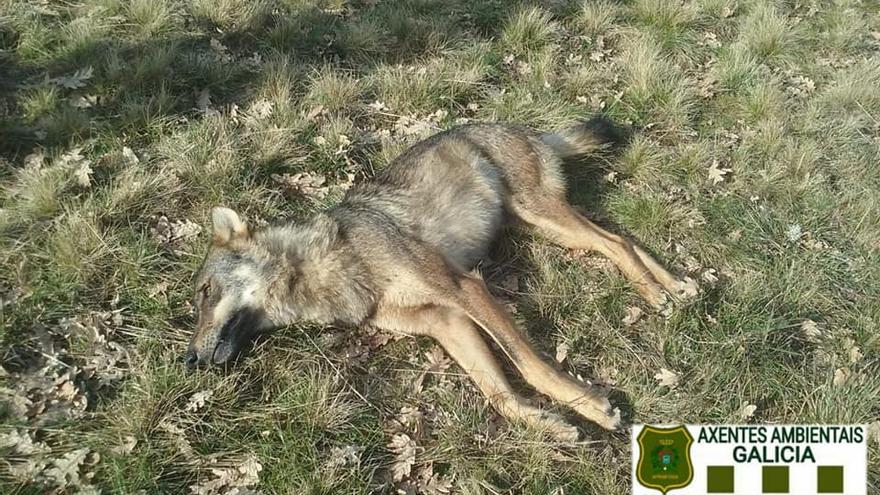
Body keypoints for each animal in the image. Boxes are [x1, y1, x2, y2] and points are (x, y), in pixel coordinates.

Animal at [187, 117, 696, 442]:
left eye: (204, 293)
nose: (189, 361)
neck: (327, 265)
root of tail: (524, 127)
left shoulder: (466, 288)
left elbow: (529, 365)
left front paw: (590, 406)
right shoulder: (447, 322)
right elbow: (498, 395)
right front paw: (549, 425)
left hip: (543, 216)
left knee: (616, 244)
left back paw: (656, 294)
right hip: (546, 227)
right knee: (620, 238)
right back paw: (678, 288)